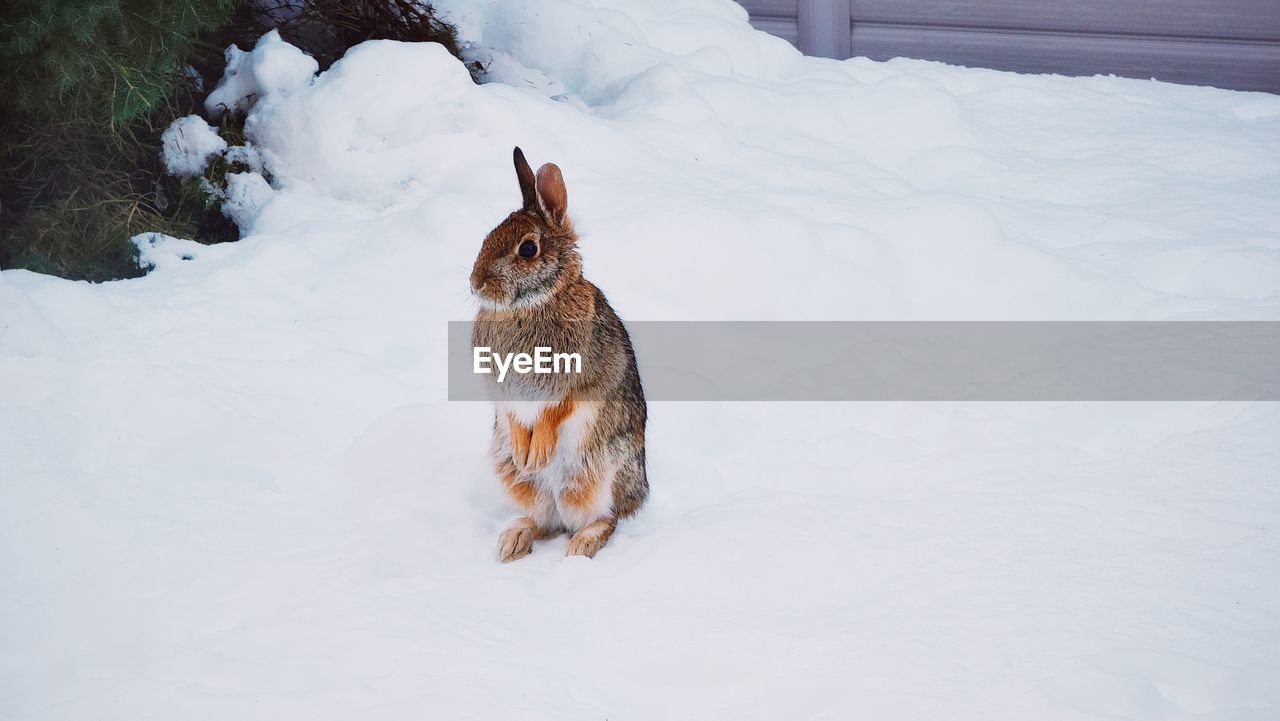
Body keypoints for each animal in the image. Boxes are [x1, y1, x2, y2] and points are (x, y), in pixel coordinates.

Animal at [471, 147, 650, 563]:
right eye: (488, 236)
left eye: (528, 249)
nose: (475, 282)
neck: (532, 305)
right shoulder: (502, 390)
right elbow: (512, 414)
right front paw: (525, 452)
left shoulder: (580, 378)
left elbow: (555, 410)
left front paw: (537, 453)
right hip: (520, 482)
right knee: (542, 519)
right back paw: (513, 540)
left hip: (597, 477)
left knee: (604, 519)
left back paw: (580, 546)